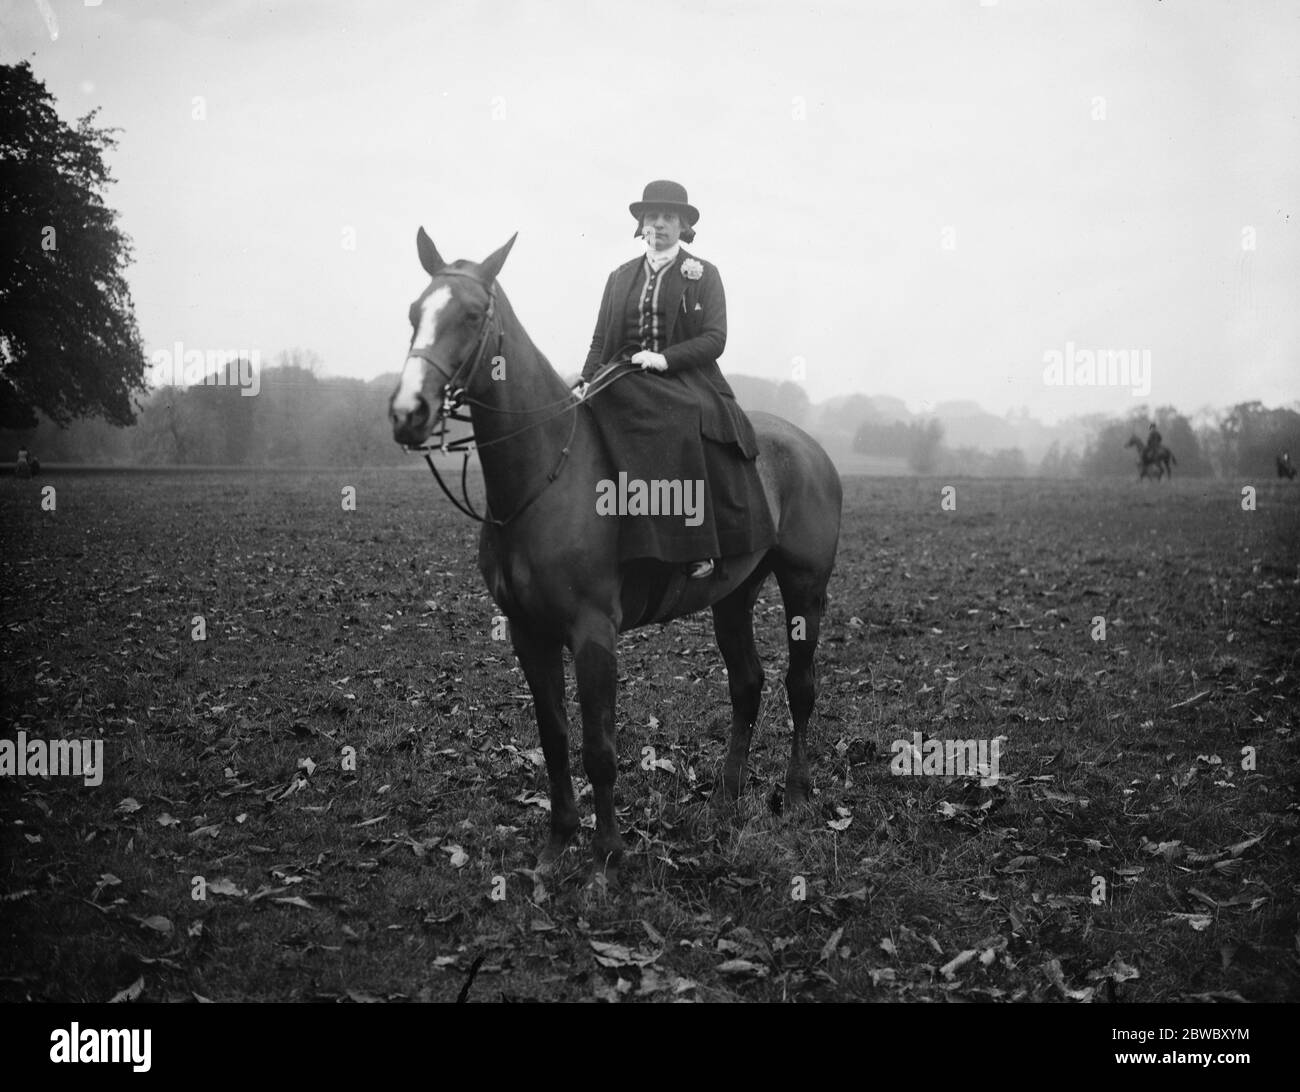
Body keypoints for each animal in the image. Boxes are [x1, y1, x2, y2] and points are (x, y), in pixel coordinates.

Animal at [387, 230, 842, 878]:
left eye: (473, 315)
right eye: (414, 312)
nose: (408, 413)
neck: (544, 474)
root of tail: (809, 447)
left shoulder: (592, 632)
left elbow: (598, 746)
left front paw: (606, 852)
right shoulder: (529, 632)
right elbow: (554, 739)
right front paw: (557, 844)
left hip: (805, 588)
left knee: (800, 687)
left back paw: (798, 794)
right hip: (733, 596)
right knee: (747, 684)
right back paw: (727, 794)